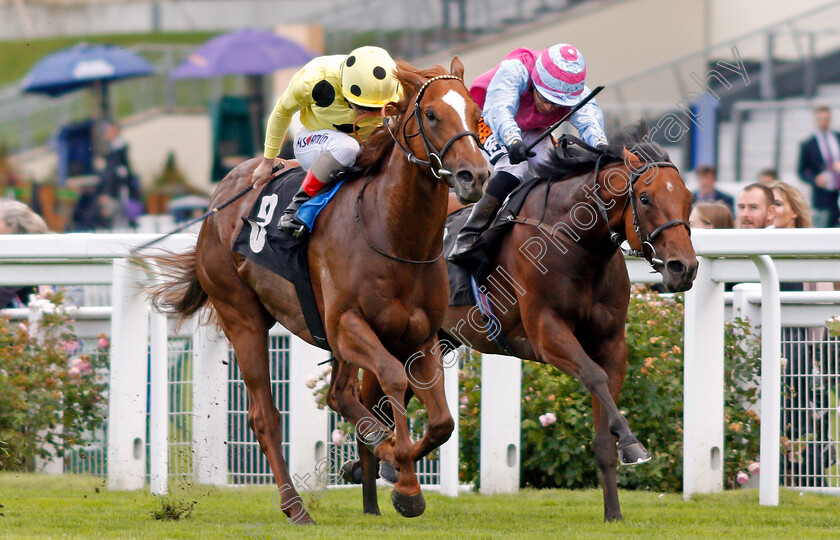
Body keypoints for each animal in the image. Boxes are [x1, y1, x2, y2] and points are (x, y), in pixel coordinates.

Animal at [144, 58, 486, 524]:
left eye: (475, 112)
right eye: (431, 114)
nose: (475, 176)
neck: (393, 234)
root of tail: (219, 197)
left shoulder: (422, 334)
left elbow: (442, 422)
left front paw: (392, 468)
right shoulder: (346, 326)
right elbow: (394, 380)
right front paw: (405, 481)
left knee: (339, 394)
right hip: (242, 316)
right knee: (265, 415)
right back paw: (295, 506)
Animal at [352, 124, 696, 520]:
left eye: (689, 199)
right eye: (645, 198)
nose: (684, 267)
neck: (577, 243)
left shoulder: (612, 343)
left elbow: (603, 421)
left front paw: (614, 508)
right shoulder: (547, 333)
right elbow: (593, 375)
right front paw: (632, 443)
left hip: (434, 339)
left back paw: (383, 468)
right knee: (370, 405)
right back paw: (372, 497)